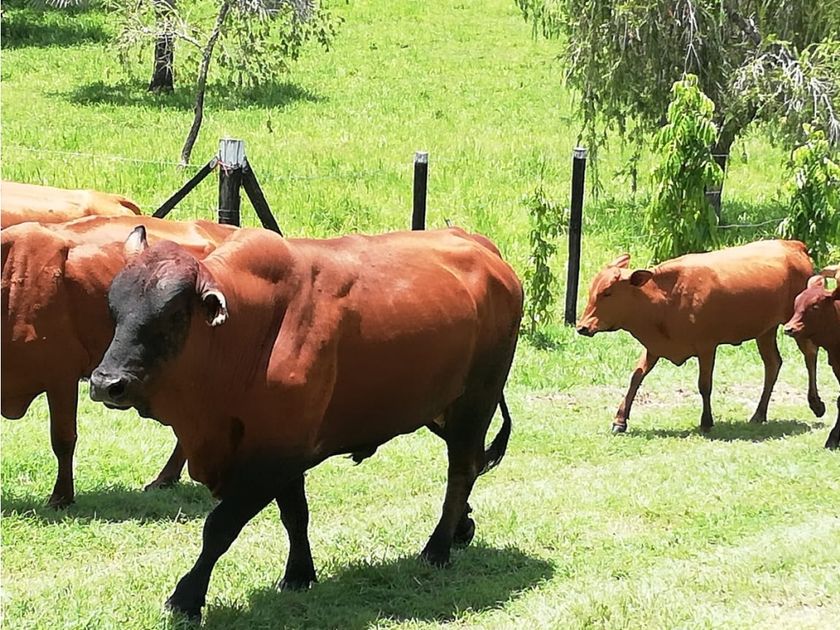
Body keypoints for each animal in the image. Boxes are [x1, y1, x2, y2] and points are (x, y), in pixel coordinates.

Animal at [88, 226, 523, 620]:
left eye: (174, 315)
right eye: (113, 309)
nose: (106, 383)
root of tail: (483, 247)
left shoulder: (274, 456)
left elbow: (220, 526)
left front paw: (186, 597)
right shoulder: (284, 450)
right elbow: (295, 515)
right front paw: (299, 574)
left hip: (476, 402)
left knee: (461, 471)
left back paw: (438, 547)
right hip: (442, 409)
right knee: (472, 466)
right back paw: (461, 527)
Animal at [576, 240, 824, 433]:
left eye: (607, 292)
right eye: (592, 290)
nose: (582, 327)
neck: (665, 299)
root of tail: (793, 245)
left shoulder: (707, 347)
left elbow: (704, 385)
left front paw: (706, 421)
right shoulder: (654, 347)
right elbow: (636, 377)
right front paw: (620, 420)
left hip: (796, 324)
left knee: (810, 355)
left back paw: (816, 404)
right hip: (765, 330)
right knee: (773, 364)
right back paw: (759, 414)